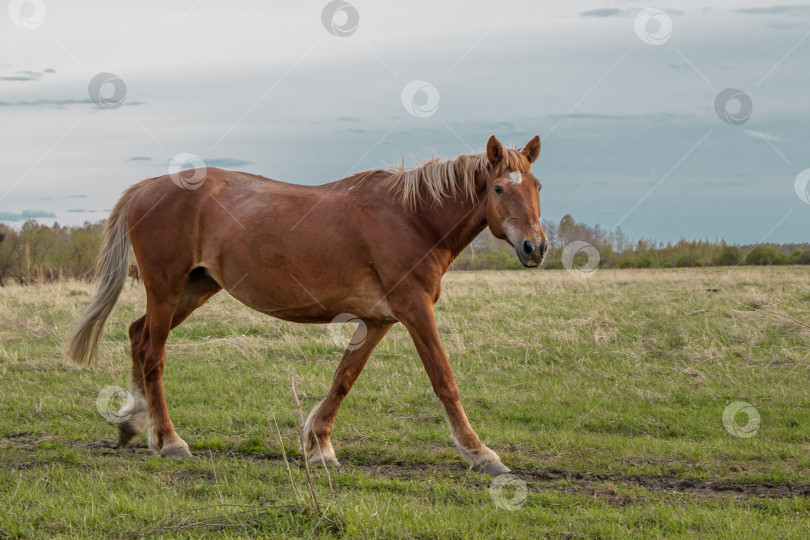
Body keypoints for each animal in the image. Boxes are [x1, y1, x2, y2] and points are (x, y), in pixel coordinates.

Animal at [66, 136, 548, 476]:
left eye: (537, 185)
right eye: (499, 188)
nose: (536, 247)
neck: (412, 217)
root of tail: (149, 187)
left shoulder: (377, 320)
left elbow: (343, 380)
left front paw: (319, 445)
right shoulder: (414, 311)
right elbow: (444, 381)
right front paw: (481, 453)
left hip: (193, 289)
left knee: (137, 334)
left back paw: (134, 424)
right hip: (167, 288)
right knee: (153, 353)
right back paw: (169, 441)